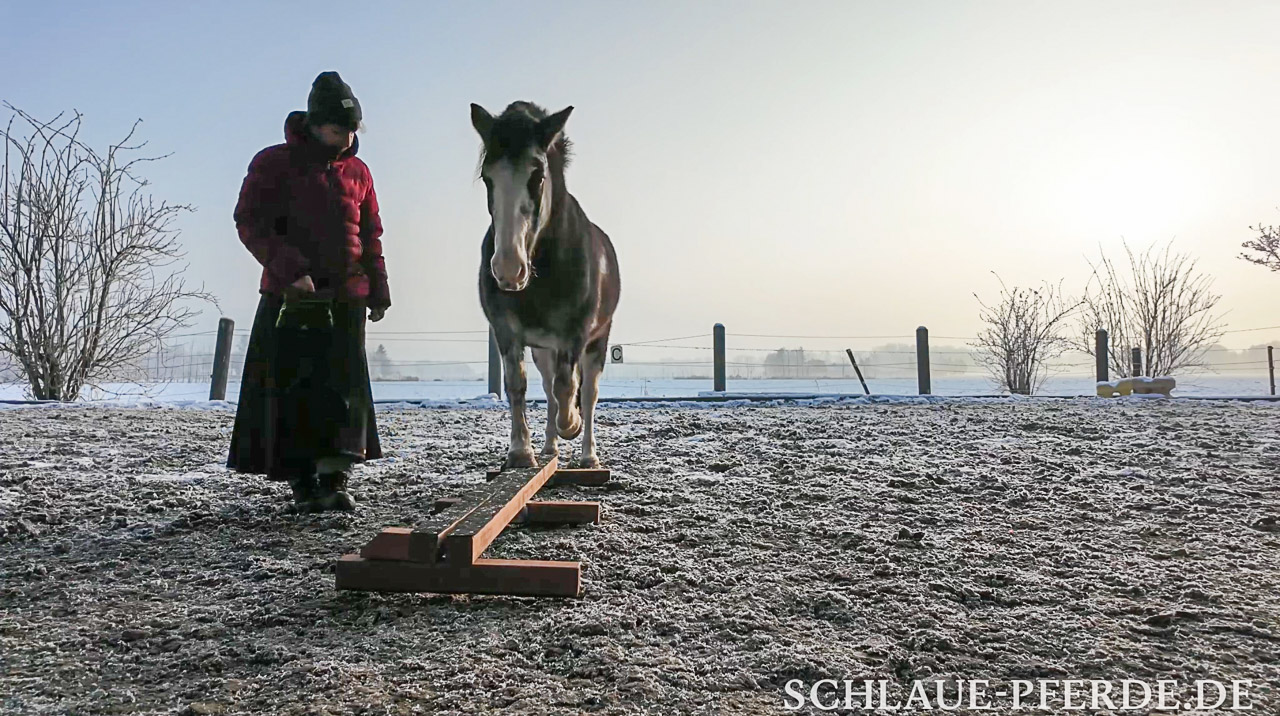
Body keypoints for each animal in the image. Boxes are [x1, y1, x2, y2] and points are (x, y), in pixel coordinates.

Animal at [471, 101, 621, 469]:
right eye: (487, 178)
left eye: (538, 176)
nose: (508, 269)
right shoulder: (506, 330)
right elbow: (517, 384)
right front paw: (521, 452)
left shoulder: (576, 333)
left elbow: (569, 389)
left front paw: (572, 425)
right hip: (543, 349)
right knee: (550, 388)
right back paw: (550, 449)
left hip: (596, 341)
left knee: (587, 392)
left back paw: (587, 455)